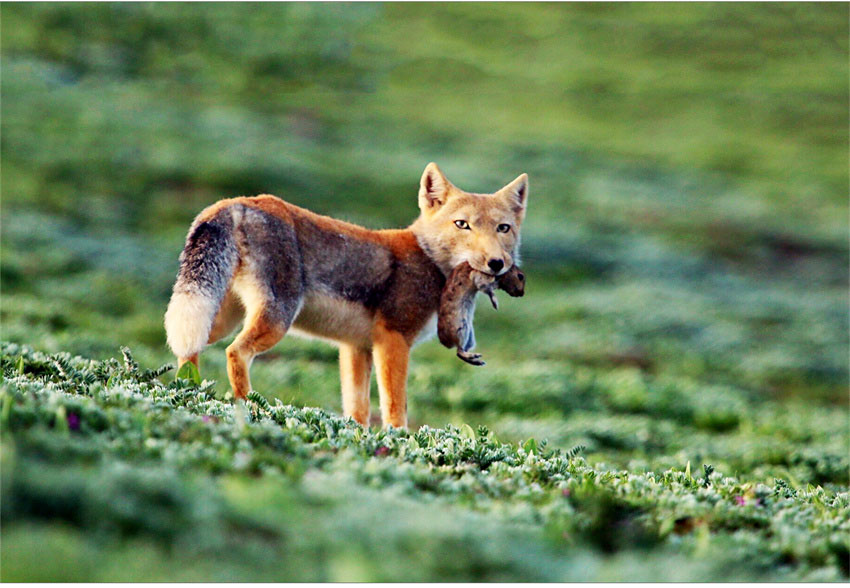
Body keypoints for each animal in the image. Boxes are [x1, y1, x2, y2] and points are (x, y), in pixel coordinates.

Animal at [162, 163, 528, 430]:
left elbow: (358, 411)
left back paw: (190, 391)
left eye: (503, 228)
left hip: (219, 320)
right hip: (276, 319)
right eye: (462, 224)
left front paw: (360, 437)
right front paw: (399, 441)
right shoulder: (392, 340)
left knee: (188, 351)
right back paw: (249, 407)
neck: (429, 260)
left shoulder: (356, 347)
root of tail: (238, 202)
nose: (497, 263)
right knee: (235, 353)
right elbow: (395, 407)